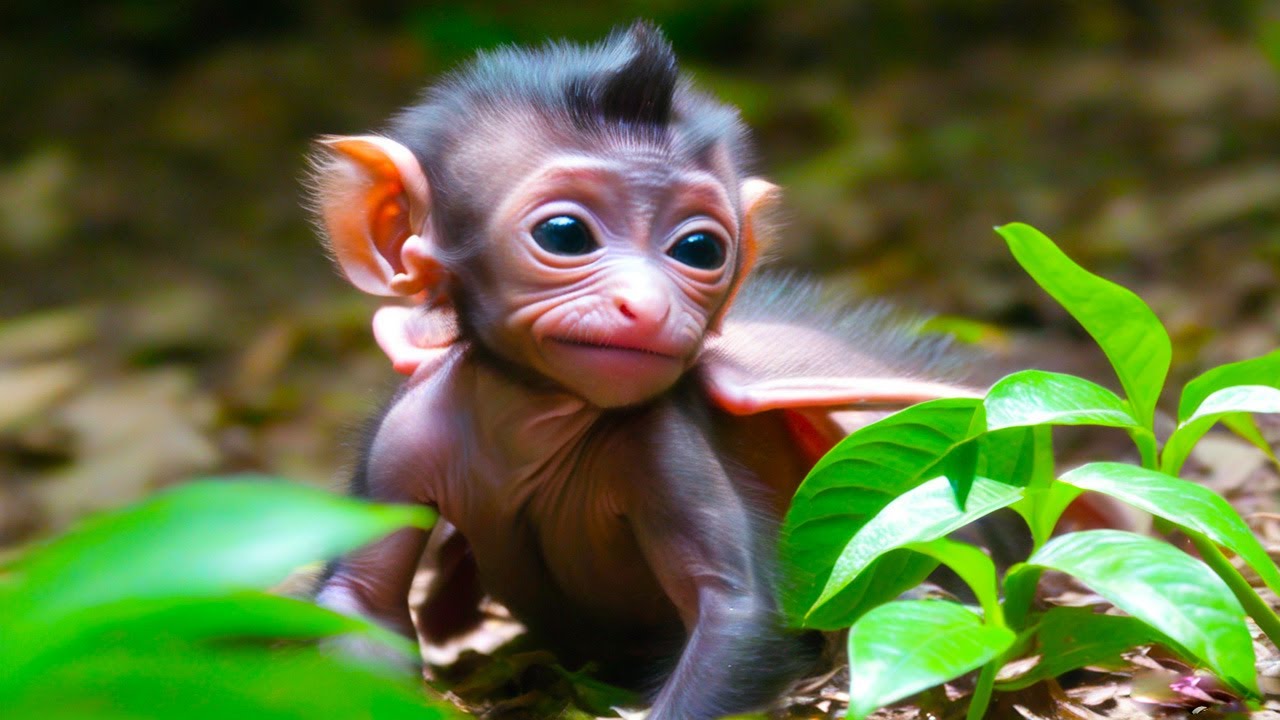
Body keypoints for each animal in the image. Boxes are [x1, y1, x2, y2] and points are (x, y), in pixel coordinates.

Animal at [307, 23, 977, 719]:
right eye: (565, 235)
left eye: (698, 249)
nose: (649, 304)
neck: (531, 416)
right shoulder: (406, 433)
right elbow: (361, 596)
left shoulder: (661, 439)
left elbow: (734, 611)